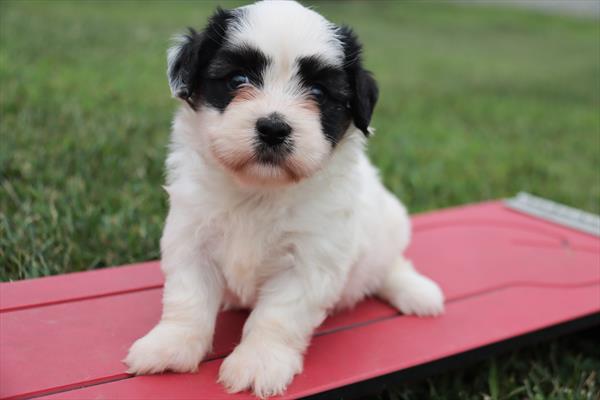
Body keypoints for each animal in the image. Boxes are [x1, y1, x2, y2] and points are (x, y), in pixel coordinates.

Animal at [124, 1, 442, 396]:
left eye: (318, 93)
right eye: (237, 81)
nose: (273, 128)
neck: (259, 190)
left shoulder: (310, 259)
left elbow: (277, 315)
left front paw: (258, 362)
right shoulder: (190, 234)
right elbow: (188, 296)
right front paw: (171, 344)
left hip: (390, 223)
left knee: (391, 264)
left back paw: (417, 292)